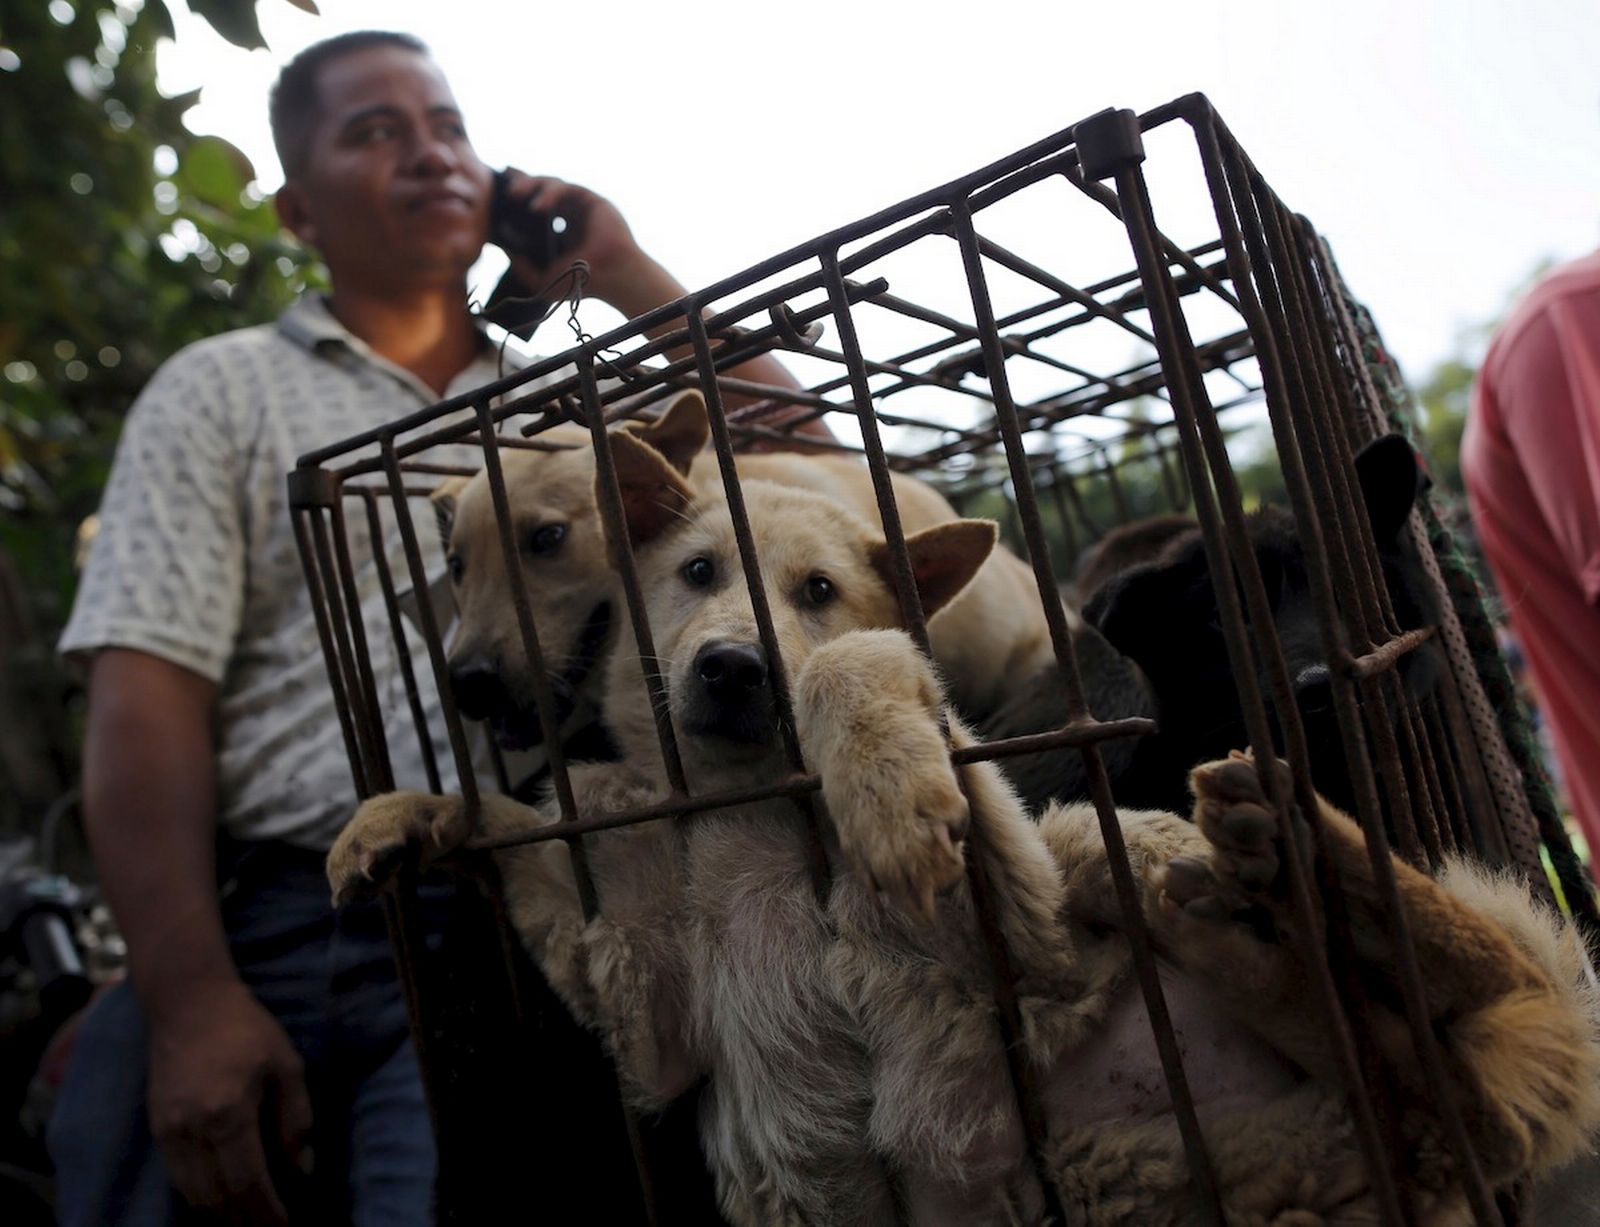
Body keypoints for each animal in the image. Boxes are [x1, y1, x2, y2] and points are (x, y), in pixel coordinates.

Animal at [324, 428, 1600, 1227]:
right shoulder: (649, 1020)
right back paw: (1269, 924)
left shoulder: (1011, 931)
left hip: (1088, 847)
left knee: (1477, 998)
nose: (731, 668)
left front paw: (885, 789)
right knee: (1408, 1069)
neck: (746, 819)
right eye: (692, 573)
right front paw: (411, 817)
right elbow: (521, 843)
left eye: (817, 592)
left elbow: (866, 665)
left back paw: (1303, 857)